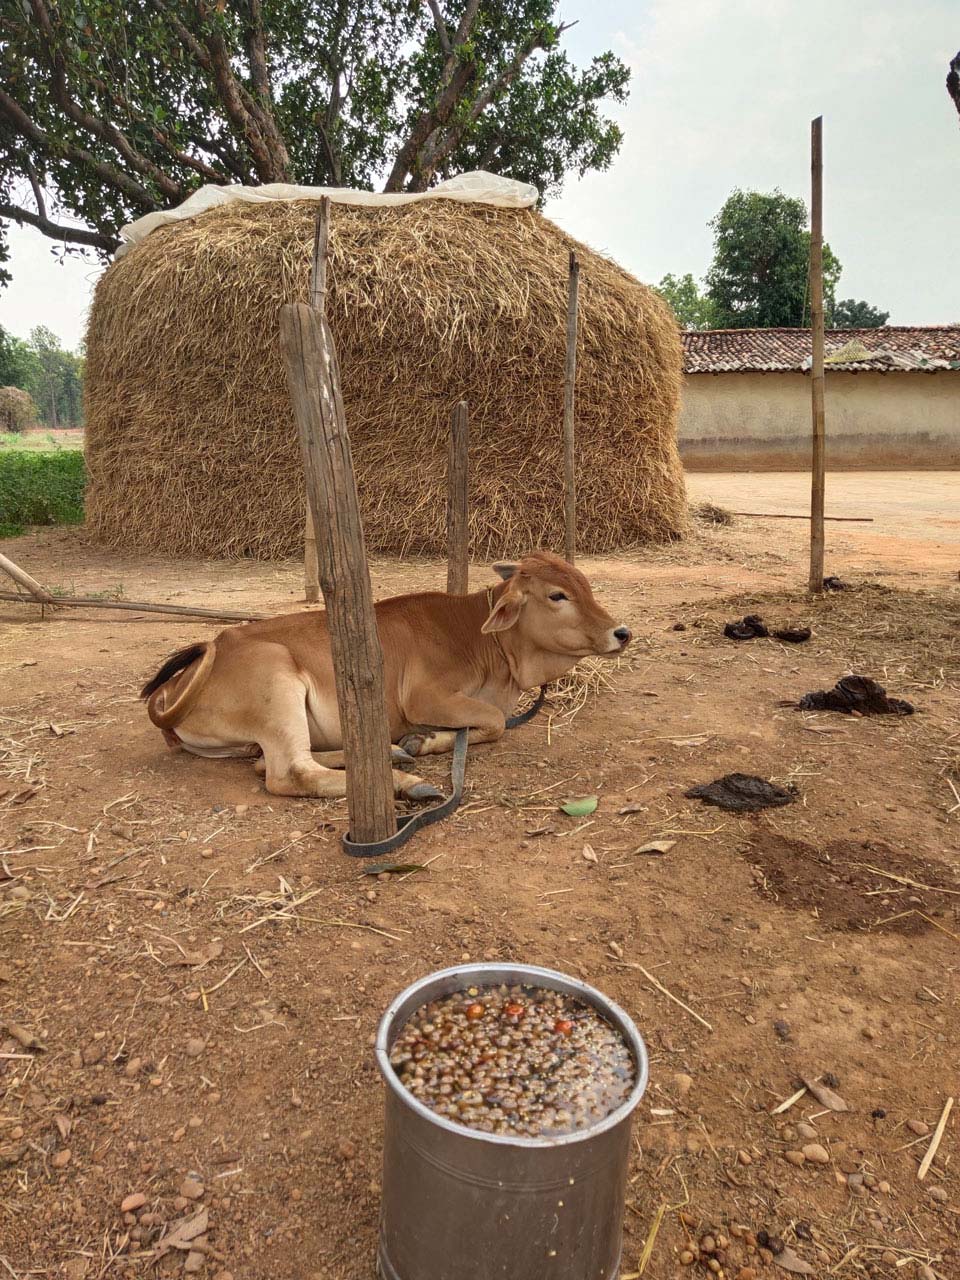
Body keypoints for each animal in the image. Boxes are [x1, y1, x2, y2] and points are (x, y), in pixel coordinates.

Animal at [136, 550, 632, 798]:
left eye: (585, 584)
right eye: (557, 595)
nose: (621, 633)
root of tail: (175, 688)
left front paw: (420, 741)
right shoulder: (425, 697)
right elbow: (493, 723)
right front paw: (426, 740)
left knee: (270, 762)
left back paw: (391, 754)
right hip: (276, 683)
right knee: (289, 773)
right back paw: (407, 784)